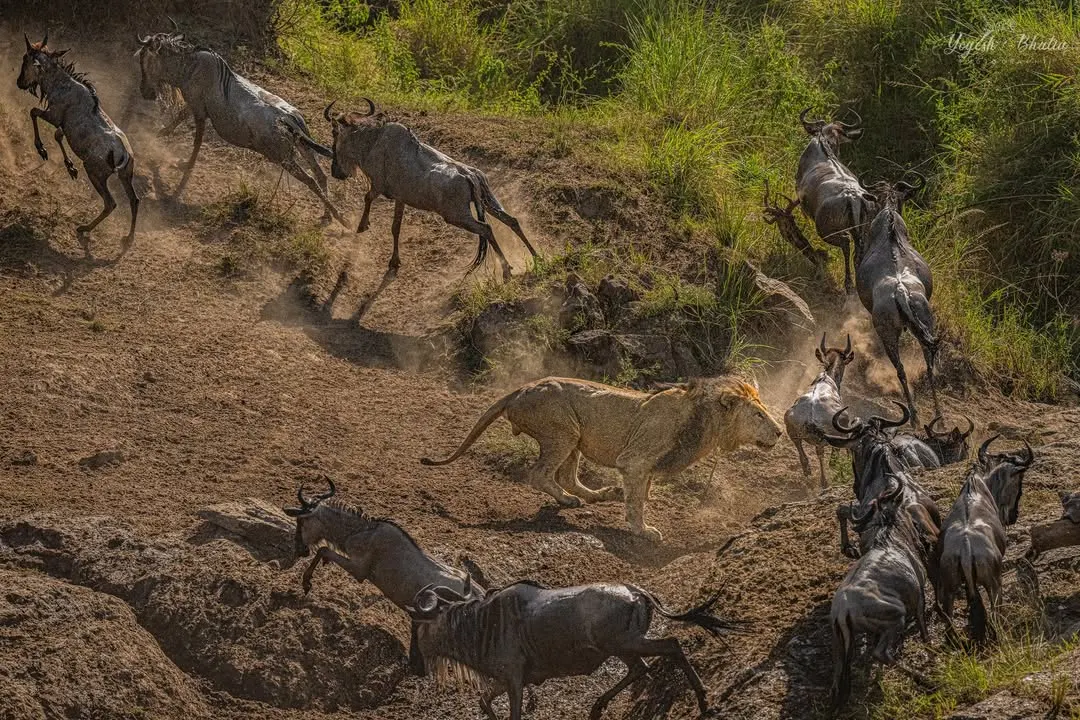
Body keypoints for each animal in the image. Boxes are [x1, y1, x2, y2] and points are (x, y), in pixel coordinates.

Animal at [421, 375, 784, 541]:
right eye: (758, 415)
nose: (780, 431)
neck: (706, 423)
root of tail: (521, 388)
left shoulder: (645, 467)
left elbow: (642, 492)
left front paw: (629, 504)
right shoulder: (635, 460)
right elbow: (637, 500)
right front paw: (642, 530)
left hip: (574, 438)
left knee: (567, 478)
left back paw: (602, 494)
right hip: (562, 431)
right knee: (541, 474)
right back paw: (574, 500)